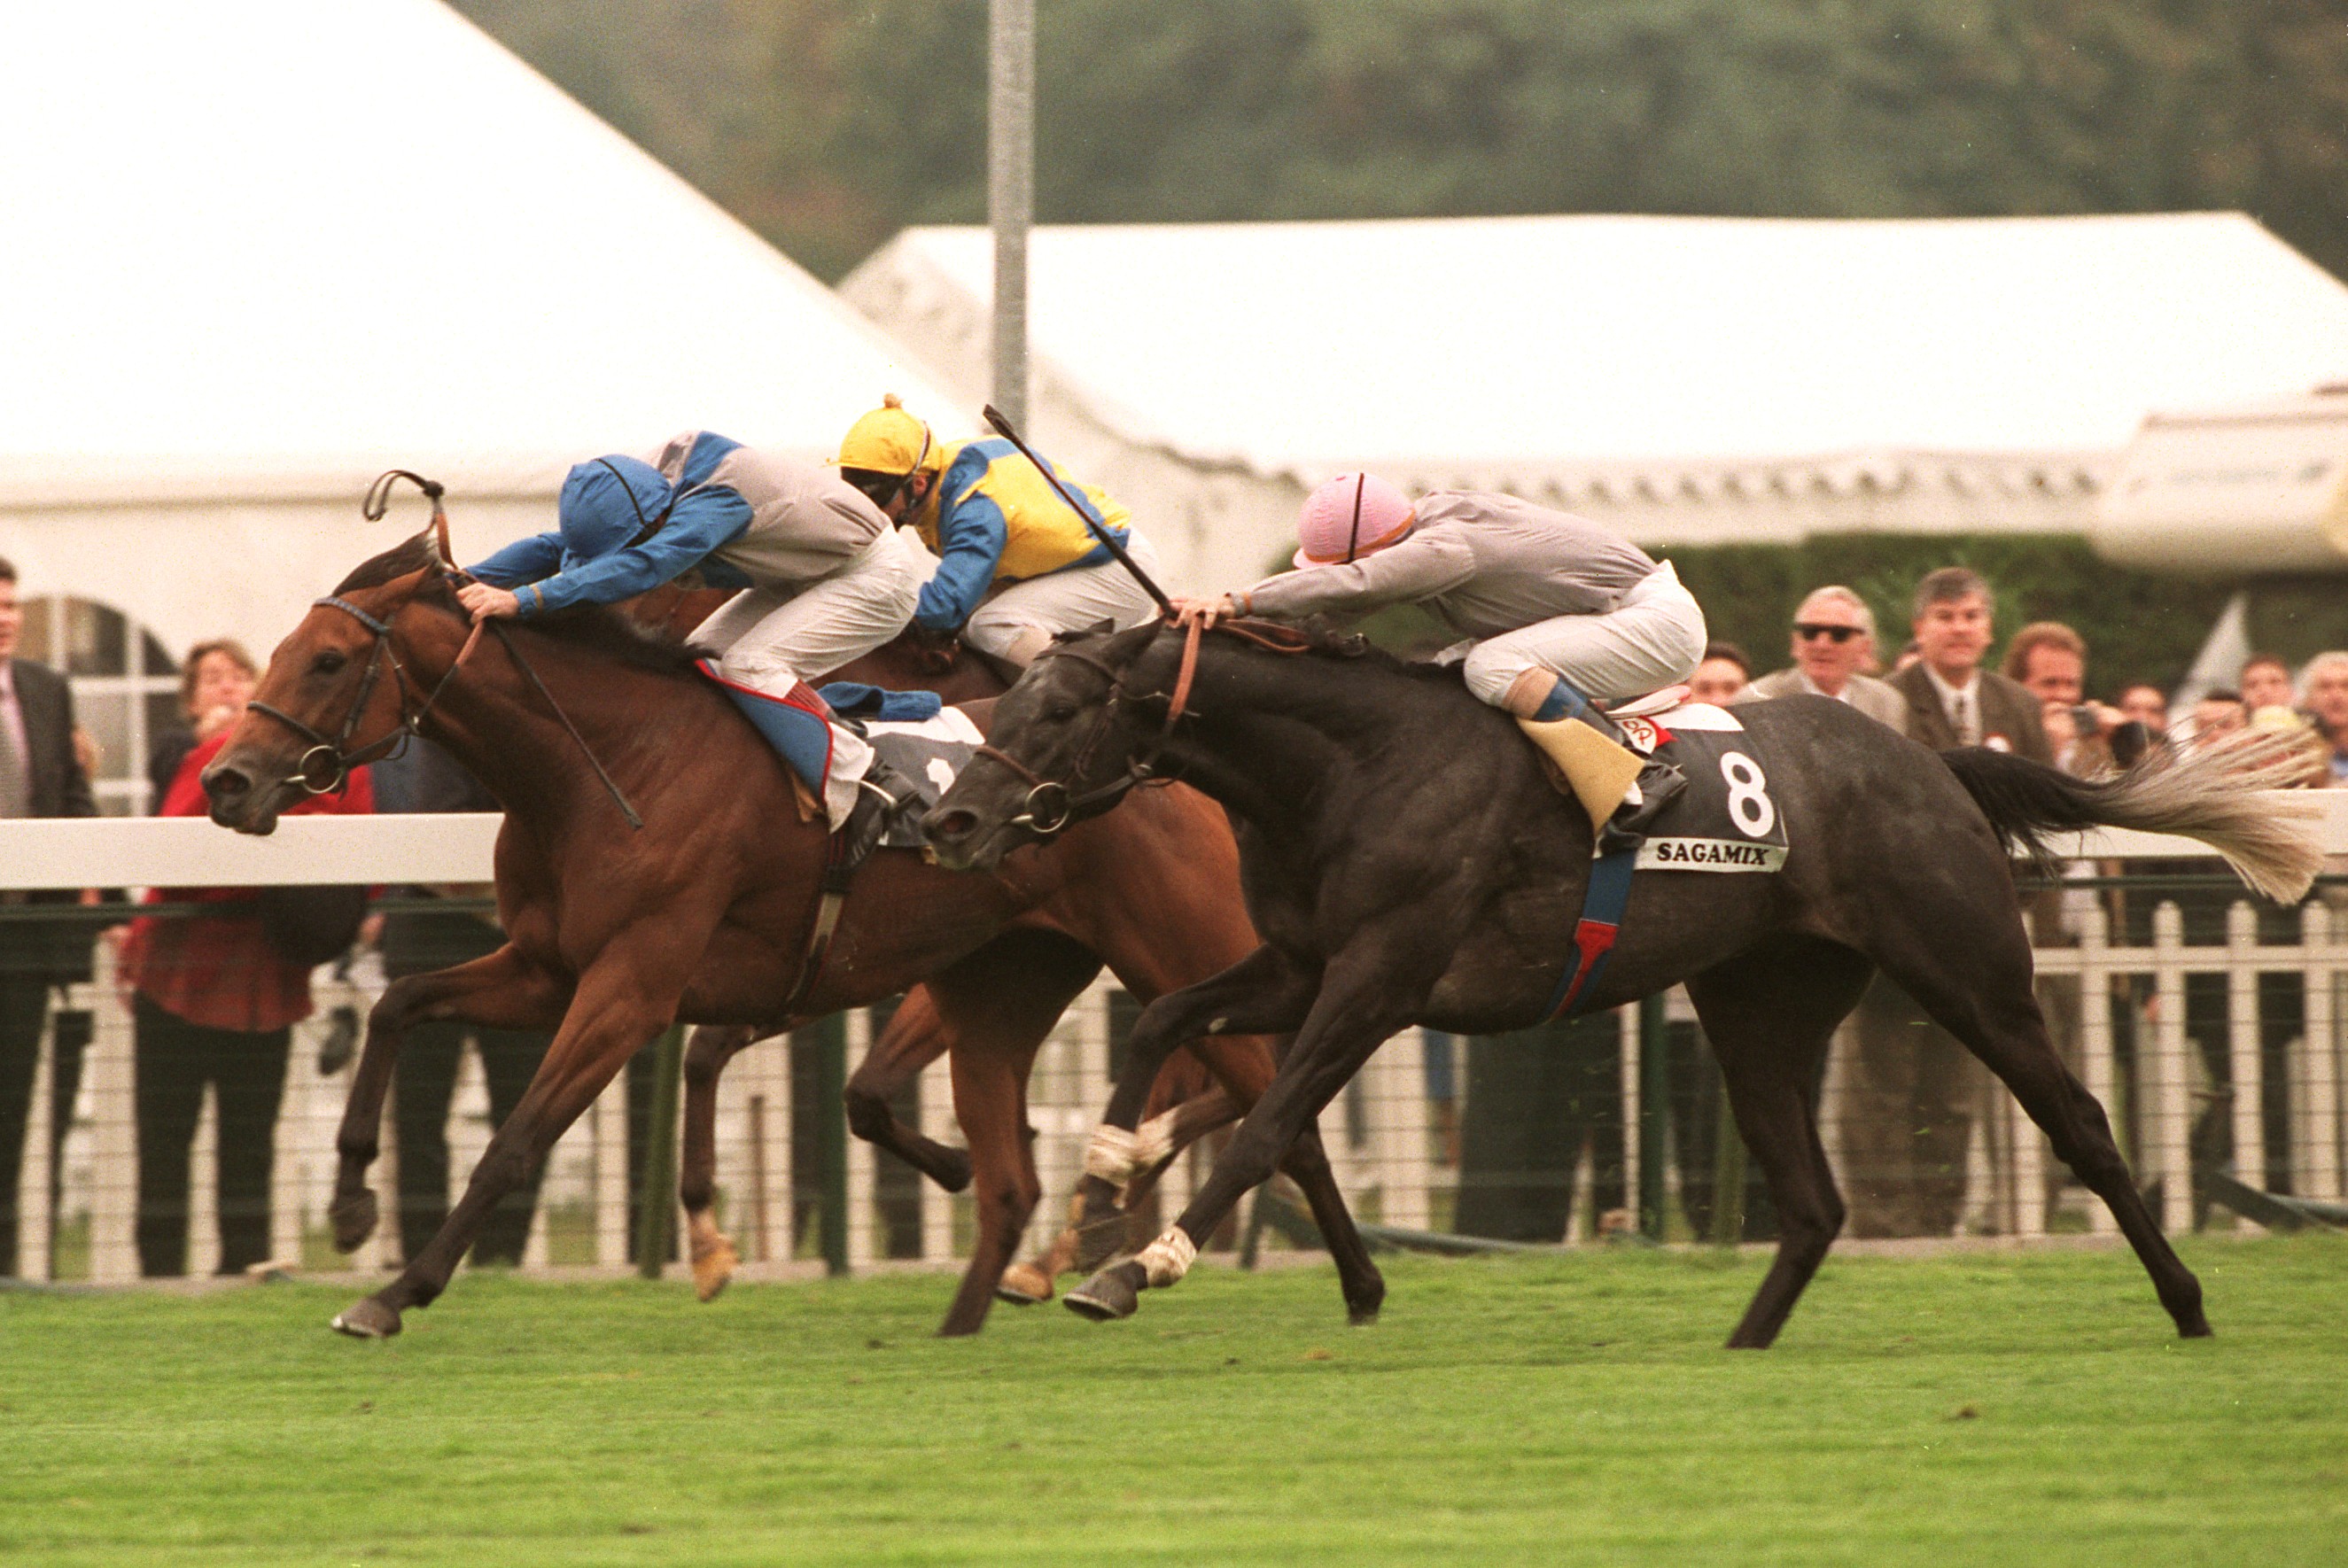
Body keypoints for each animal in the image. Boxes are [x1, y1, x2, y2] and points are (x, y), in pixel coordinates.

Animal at [206, 535, 1371, 1333]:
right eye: (282, 651)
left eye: (326, 661)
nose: (227, 781)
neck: (608, 763)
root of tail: (1166, 762)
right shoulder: (546, 967)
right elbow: (399, 1005)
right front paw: (351, 1204)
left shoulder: (630, 987)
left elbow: (516, 1140)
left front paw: (393, 1294)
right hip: (1004, 982)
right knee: (1016, 1176)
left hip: (1178, 950)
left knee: (1285, 1112)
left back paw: (1321, 1282)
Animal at [925, 619, 2320, 1352]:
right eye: (1006, 702)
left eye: (1056, 715)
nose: (951, 818)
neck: (1345, 765)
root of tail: (1932, 762)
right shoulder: (1298, 960)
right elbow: (1163, 1016)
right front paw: (1098, 1185)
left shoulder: (1381, 977)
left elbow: (1271, 1122)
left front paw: (1134, 1265)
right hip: (1758, 1004)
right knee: (1811, 1197)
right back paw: (1744, 1344)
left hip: (1967, 970)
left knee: (2078, 1123)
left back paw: (2188, 1305)